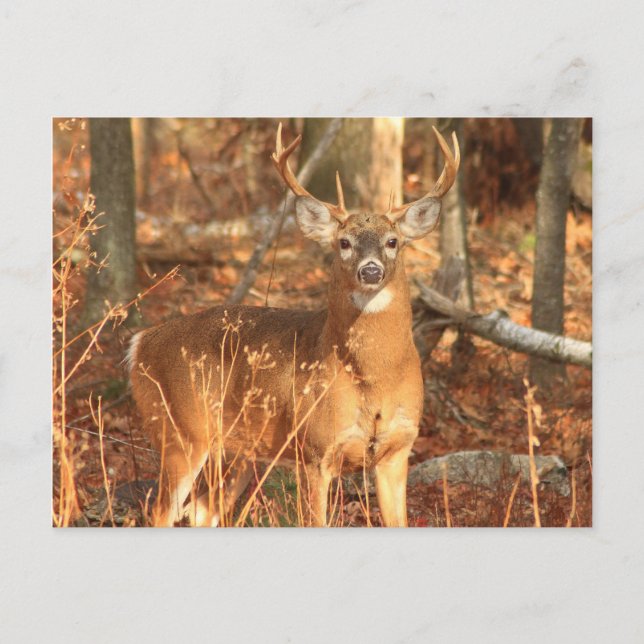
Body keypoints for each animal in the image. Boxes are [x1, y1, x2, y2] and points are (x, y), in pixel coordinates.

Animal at [128, 123, 460, 527]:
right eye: (343, 242)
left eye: (393, 241)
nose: (371, 270)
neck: (373, 379)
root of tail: (141, 342)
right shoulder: (315, 450)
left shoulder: (398, 449)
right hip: (180, 430)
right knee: (161, 511)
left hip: (238, 451)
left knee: (201, 511)